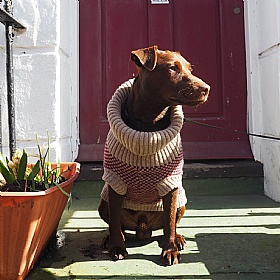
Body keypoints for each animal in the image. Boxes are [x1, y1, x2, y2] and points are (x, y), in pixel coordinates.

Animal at [98, 45, 210, 264]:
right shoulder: (115, 182)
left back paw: (178, 239)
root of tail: (143, 228)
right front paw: (117, 247)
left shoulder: (170, 183)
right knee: (117, 224)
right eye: (173, 68)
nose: (206, 88)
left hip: (181, 201)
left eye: (190, 69)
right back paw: (113, 238)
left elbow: (169, 220)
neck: (148, 127)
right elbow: (114, 221)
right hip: (103, 201)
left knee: (169, 225)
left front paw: (170, 250)